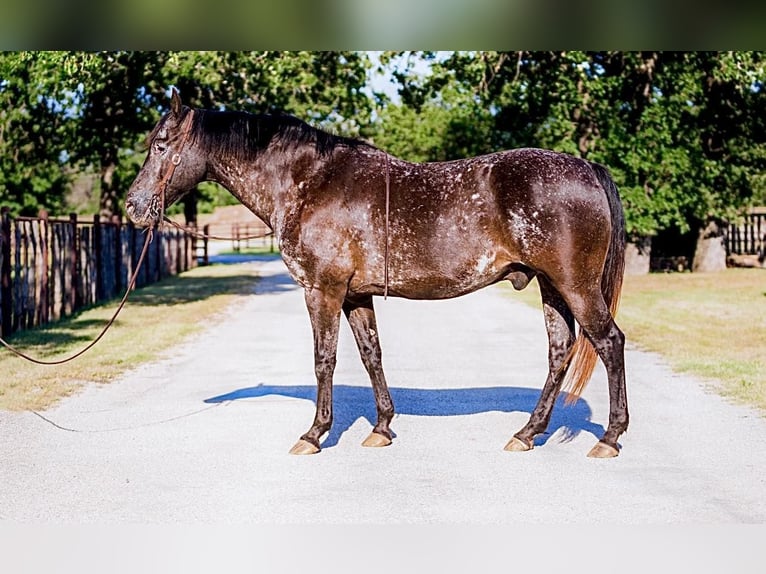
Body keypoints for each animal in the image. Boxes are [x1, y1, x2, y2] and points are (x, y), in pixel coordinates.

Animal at [127, 89, 632, 460]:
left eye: (160, 145)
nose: (134, 206)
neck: (309, 183)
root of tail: (586, 167)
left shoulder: (322, 291)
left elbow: (324, 360)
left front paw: (314, 434)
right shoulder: (355, 296)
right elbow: (371, 355)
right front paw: (383, 427)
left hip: (575, 285)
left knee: (609, 343)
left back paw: (609, 438)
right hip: (552, 287)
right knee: (560, 350)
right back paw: (527, 432)